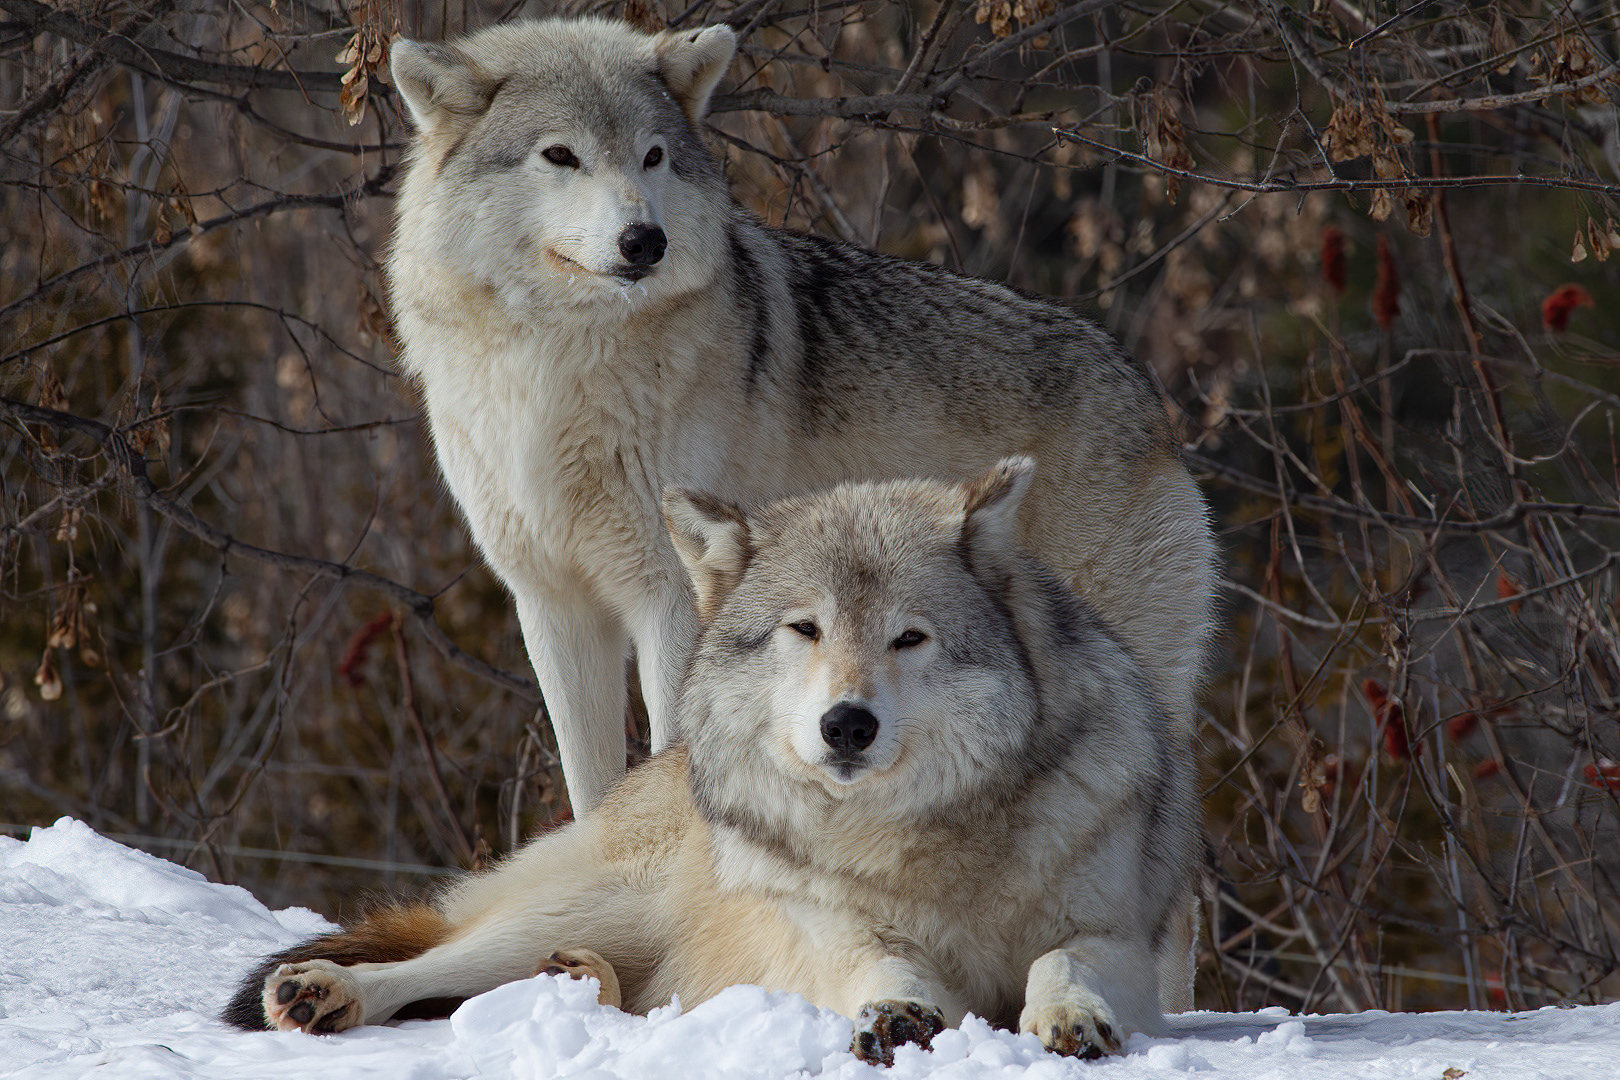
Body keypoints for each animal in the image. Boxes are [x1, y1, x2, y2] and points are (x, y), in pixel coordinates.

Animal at [222, 460, 1200, 1064]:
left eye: (909, 638)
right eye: (805, 629)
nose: (848, 725)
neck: (920, 839)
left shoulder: (1119, 937)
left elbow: (1061, 962)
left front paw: (1070, 1017)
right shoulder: (832, 934)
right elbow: (881, 966)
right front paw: (896, 1015)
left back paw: (573, 981)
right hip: (590, 902)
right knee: (430, 966)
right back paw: (324, 992)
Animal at [383, 17, 1215, 833]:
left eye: (653, 157)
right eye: (561, 155)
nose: (644, 241)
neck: (556, 368)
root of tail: (1143, 389)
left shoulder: (672, 603)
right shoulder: (553, 607)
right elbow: (593, 794)